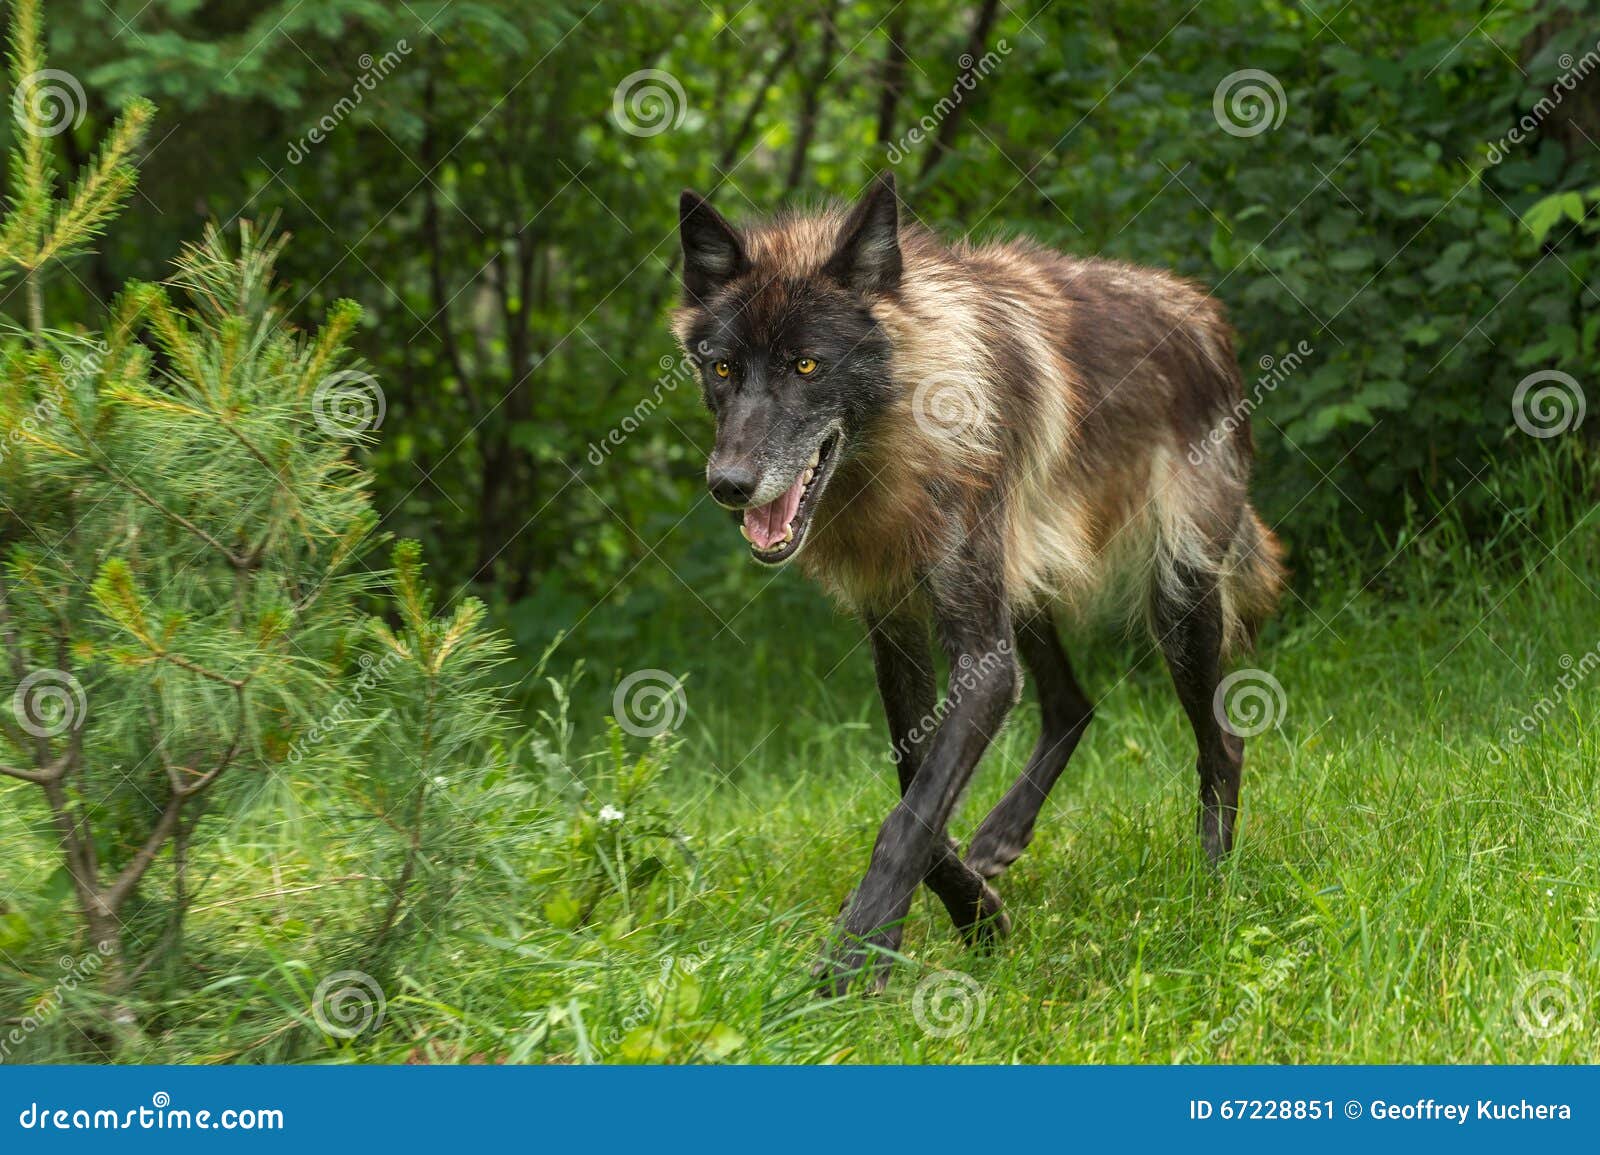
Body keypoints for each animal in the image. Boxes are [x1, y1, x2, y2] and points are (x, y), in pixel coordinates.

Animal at [671, 172, 1283, 995]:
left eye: (806, 366)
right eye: (722, 368)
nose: (728, 485)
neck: (896, 452)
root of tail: (1206, 314)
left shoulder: (983, 659)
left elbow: (907, 816)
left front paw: (852, 963)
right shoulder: (895, 623)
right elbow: (913, 781)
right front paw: (976, 917)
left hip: (1177, 603)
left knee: (1224, 740)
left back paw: (1213, 887)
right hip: (1023, 588)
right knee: (1074, 704)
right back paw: (1002, 836)